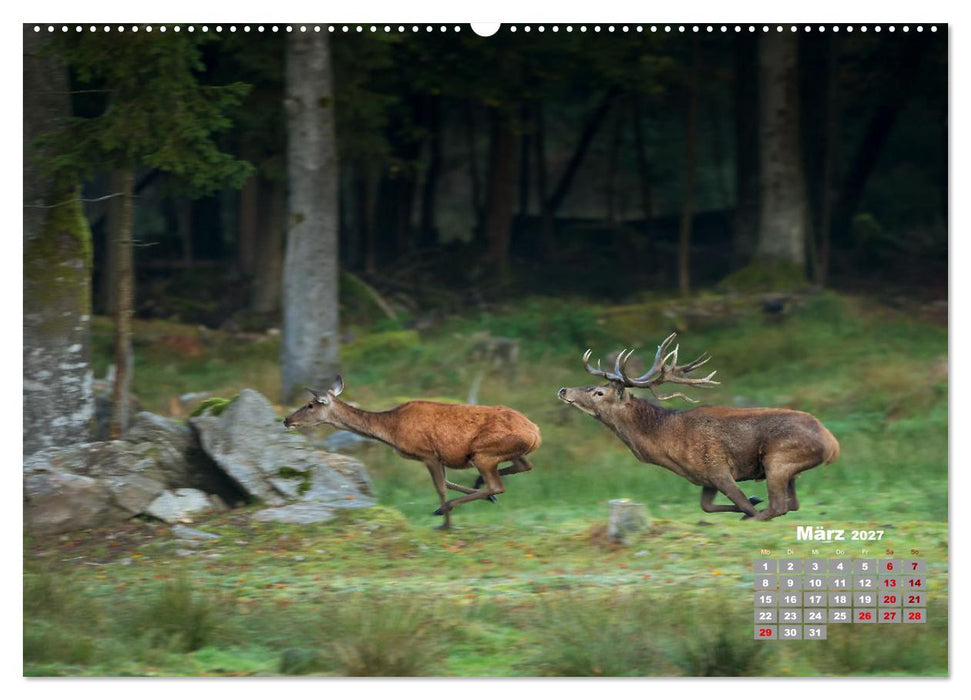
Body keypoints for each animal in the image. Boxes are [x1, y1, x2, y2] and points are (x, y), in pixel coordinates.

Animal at [283, 376, 541, 529]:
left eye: (310, 405)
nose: (287, 420)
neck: (391, 430)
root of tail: (536, 432)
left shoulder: (427, 453)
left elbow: (440, 488)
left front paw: (446, 523)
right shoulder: (440, 456)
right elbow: (448, 483)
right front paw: (481, 499)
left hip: (483, 453)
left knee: (498, 483)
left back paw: (448, 507)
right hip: (504, 452)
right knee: (524, 466)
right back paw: (481, 487)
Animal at [557, 333, 840, 521]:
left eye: (598, 393)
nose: (563, 390)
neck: (669, 446)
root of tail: (832, 444)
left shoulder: (718, 468)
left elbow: (743, 504)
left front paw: (751, 503)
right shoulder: (706, 478)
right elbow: (707, 506)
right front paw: (752, 498)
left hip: (778, 459)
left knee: (779, 506)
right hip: (789, 469)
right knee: (792, 504)